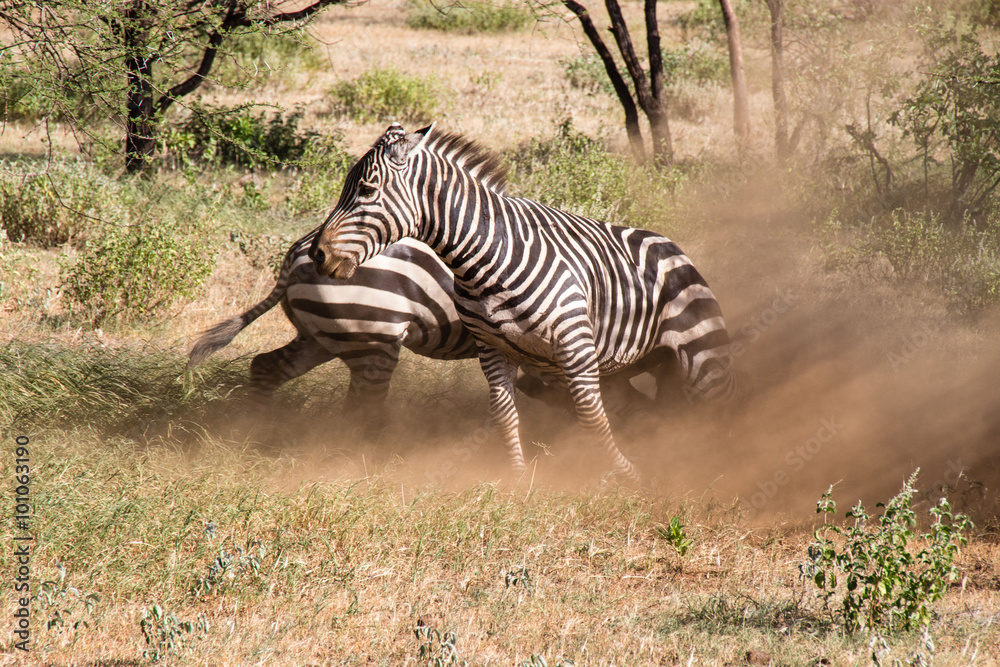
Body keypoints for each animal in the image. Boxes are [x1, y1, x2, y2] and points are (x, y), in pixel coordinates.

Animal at [309, 123, 744, 481]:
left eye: (366, 191)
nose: (316, 254)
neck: (484, 262)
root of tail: (672, 246)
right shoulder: (493, 350)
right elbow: (505, 415)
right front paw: (519, 479)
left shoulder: (575, 346)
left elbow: (590, 414)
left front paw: (619, 475)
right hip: (641, 365)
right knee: (655, 413)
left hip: (702, 356)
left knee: (714, 410)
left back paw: (716, 467)